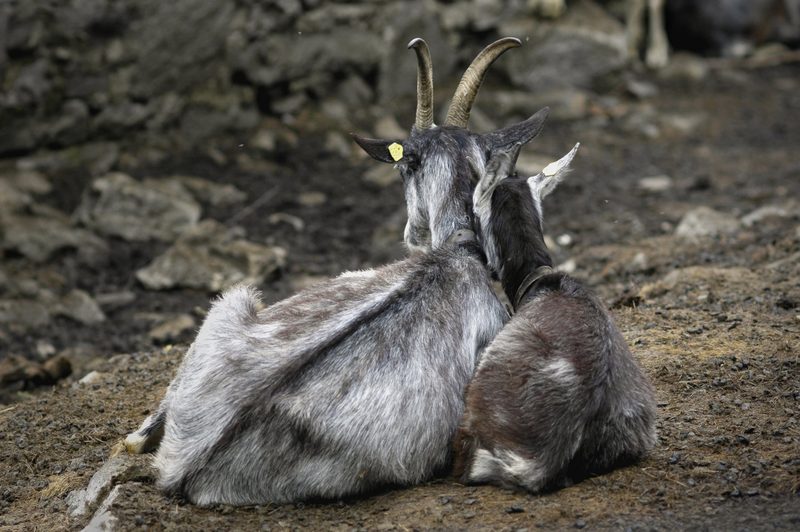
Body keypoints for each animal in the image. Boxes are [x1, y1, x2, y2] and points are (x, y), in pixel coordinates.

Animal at [125, 38, 544, 505]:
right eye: (403, 169)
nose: (411, 235)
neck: (457, 251)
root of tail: (185, 463)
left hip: (229, 306)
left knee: (134, 439)